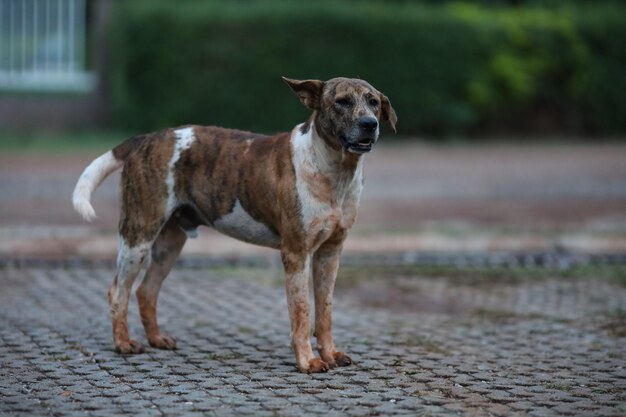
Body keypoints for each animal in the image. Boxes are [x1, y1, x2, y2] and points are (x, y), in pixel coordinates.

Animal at [72, 76, 394, 372]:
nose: (369, 124)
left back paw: (156, 339)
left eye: (373, 102)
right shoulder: (296, 253)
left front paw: (330, 354)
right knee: (118, 291)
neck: (333, 170)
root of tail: (145, 139)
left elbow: (325, 311)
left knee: (146, 291)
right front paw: (307, 361)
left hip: (170, 243)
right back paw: (123, 343)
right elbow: (302, 312)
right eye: (342, 101)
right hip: (138, 236)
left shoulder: (330, 252)